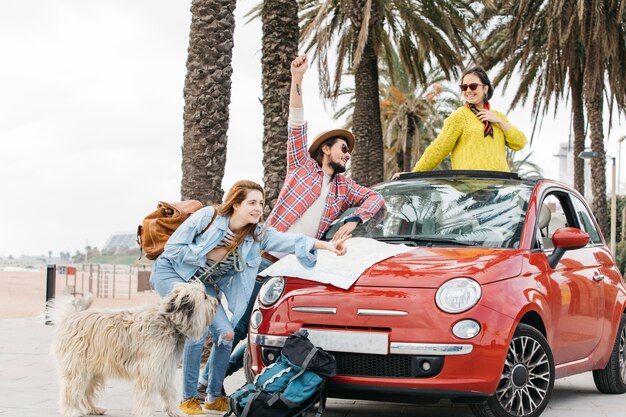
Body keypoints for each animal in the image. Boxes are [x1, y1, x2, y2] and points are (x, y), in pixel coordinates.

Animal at [51, 280, 217, 416]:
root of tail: (70, 317)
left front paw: (175, 412)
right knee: (70, 391)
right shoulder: (149, 371)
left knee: (86, 392)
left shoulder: (164, 368)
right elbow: (146, 397)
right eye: (205, 297)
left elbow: (169, 392)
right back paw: (71, 411)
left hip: (93, 370)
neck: (170, 321)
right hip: (78, 368)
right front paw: (147, 414)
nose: (217, 302)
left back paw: (93, 409)